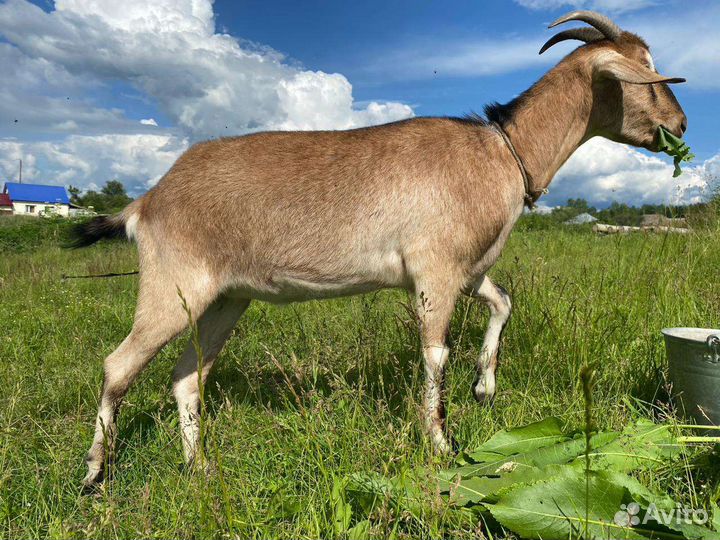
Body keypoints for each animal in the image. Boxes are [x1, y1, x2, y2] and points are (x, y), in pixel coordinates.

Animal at [71, 10, 687, 488]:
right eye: (647, 73)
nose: (680, 124)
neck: (501, 152)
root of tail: (147, 201)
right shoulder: (435, 271)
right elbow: (435, 355)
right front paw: (441, 443)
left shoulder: (464, 270)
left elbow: (504, 302)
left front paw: (484, 387)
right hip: (174, 284)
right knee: (118, 364)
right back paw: (95, 475)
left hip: (226, 298)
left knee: (186, 377)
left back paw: (198, 467)